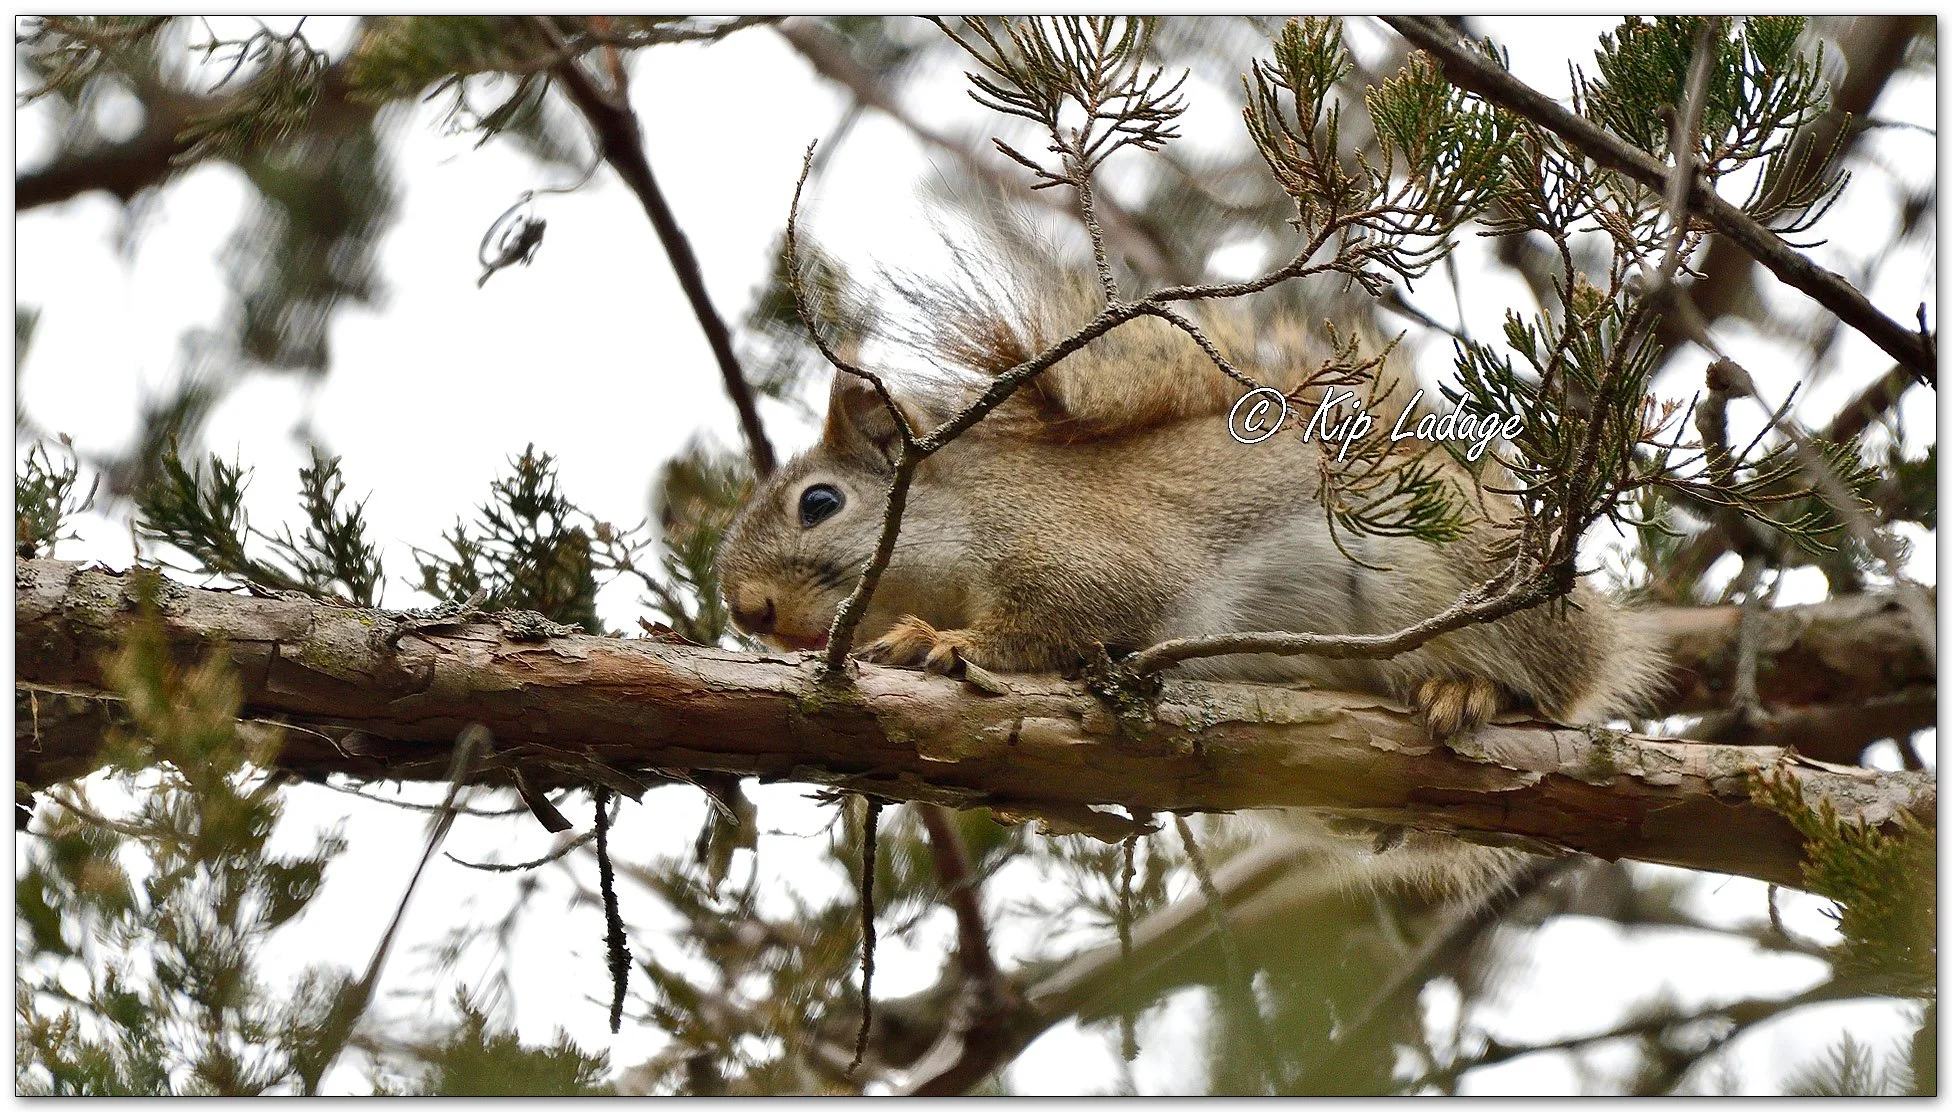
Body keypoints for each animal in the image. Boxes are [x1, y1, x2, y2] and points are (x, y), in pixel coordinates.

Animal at [716, 261, 1666, 742]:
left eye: (819, 503)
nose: (748, 612)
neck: (974, 509)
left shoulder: (1085, 550)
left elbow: (1066, 615)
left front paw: (943, 642)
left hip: (1454, 584)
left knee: (1553, 688)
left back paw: (1471, 694)